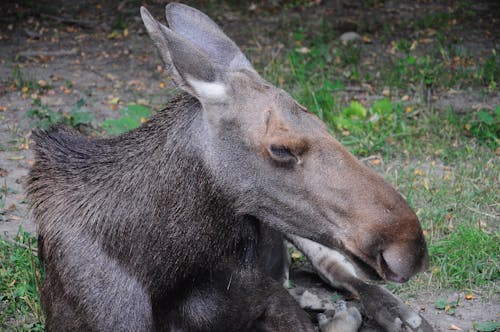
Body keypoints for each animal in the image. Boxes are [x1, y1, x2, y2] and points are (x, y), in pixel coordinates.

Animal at [28, 3, 434, 332]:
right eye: (281, 148)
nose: (410, 245)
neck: (164, 268)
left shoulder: (266, 297)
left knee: (334, 267)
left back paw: (396, 313)